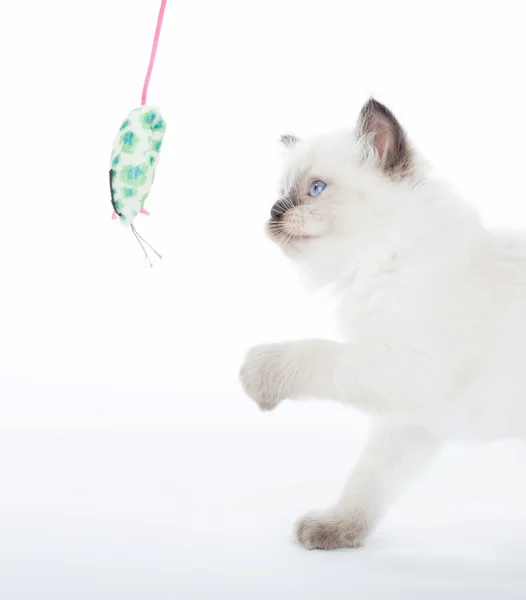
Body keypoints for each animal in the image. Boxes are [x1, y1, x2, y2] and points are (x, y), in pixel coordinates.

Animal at [241, 98, 526, 548]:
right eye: (279, 194)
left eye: (316, 189)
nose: (272, 211)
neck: (381, 262)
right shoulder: (410, 415)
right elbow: (369, 479)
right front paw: (336, 530)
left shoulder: (407, 371)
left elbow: (314, 354)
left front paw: (257, 373)